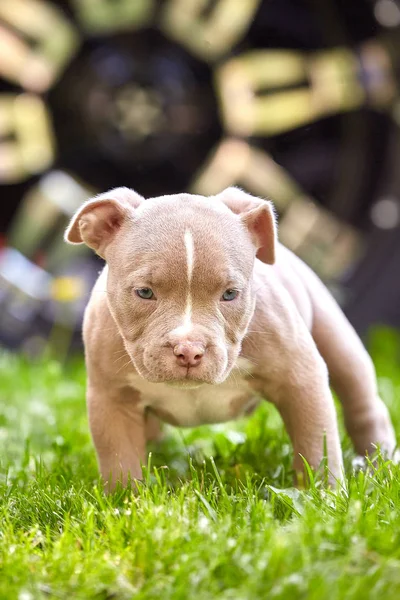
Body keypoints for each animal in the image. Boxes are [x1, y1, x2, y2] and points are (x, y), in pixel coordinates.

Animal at [64, 185, 396, 490]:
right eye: (144, 292)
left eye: (230, 294)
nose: (189, 350)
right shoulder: (112, 399)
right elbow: (120, 461)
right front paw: (126, 502)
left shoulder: (301, 379)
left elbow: (316, 446)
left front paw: (323, 497)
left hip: (339, 343)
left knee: (362, 404)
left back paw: (380, 464)